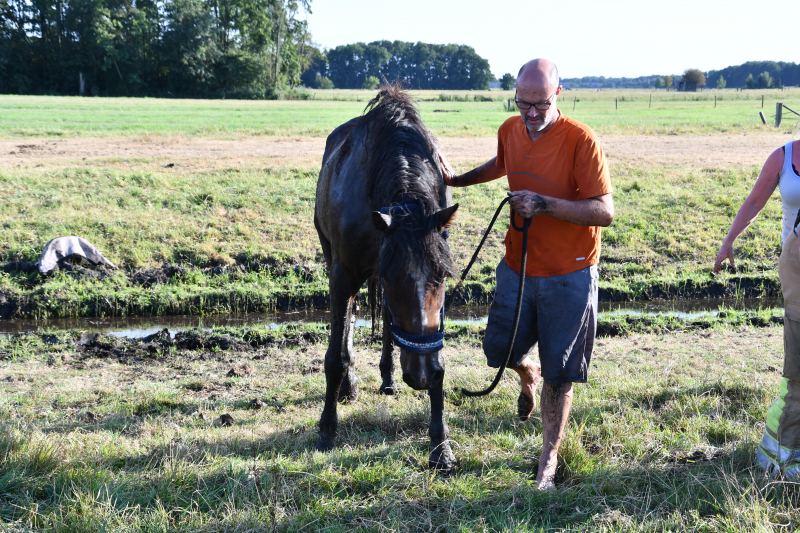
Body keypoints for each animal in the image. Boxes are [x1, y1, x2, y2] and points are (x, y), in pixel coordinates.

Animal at [313, 84, 459, 471]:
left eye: (443, 275)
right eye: (393, 278)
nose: (419, 374)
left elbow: (434, 354)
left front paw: (441, 444)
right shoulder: (343, 277)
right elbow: (335, 356)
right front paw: (326, 430)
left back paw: (389, 377)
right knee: (349, 326)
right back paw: (350, 386)